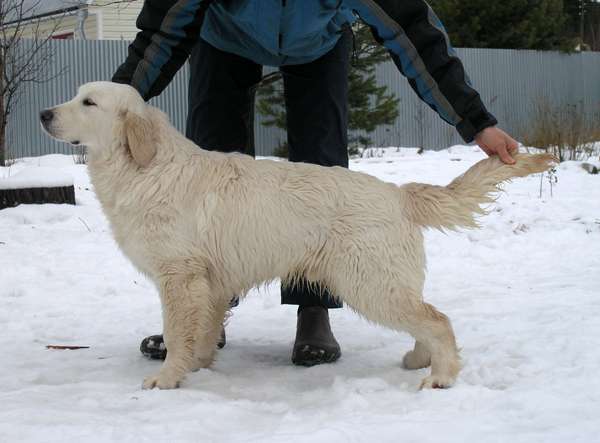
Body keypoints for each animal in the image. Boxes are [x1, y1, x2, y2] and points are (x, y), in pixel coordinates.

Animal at [41, 81, 552, 390]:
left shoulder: (179, 277)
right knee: (427, 316)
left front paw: (168, 378)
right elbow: (203, 332)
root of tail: (398, 193)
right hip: (385, 283)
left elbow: (178, 332)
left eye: (89, 103)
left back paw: (440, 377)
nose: (45, 113)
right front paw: (200, 366)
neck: (147, 167)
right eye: (77, 96)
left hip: (370, 284)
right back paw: (419, 360)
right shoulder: (207, 282)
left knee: (438, 319)